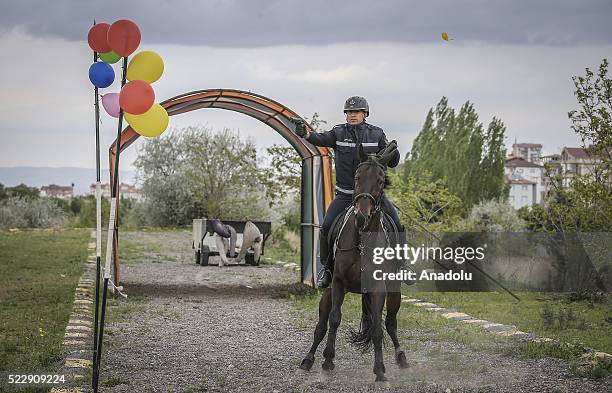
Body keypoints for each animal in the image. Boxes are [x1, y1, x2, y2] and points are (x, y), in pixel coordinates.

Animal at [298, 142, 408, 382]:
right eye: (357, 177)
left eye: (381, 180)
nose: (362, 216)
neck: (362, 240)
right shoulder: (339, 283)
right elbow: (334, 319)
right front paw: (328, 360)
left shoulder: (378, 288)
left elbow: (377, 328)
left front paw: (379, 370)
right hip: (329, 291)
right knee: (321, 325)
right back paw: (308, 359)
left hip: (394, 292)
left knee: (390, 323)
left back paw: (401, 357)